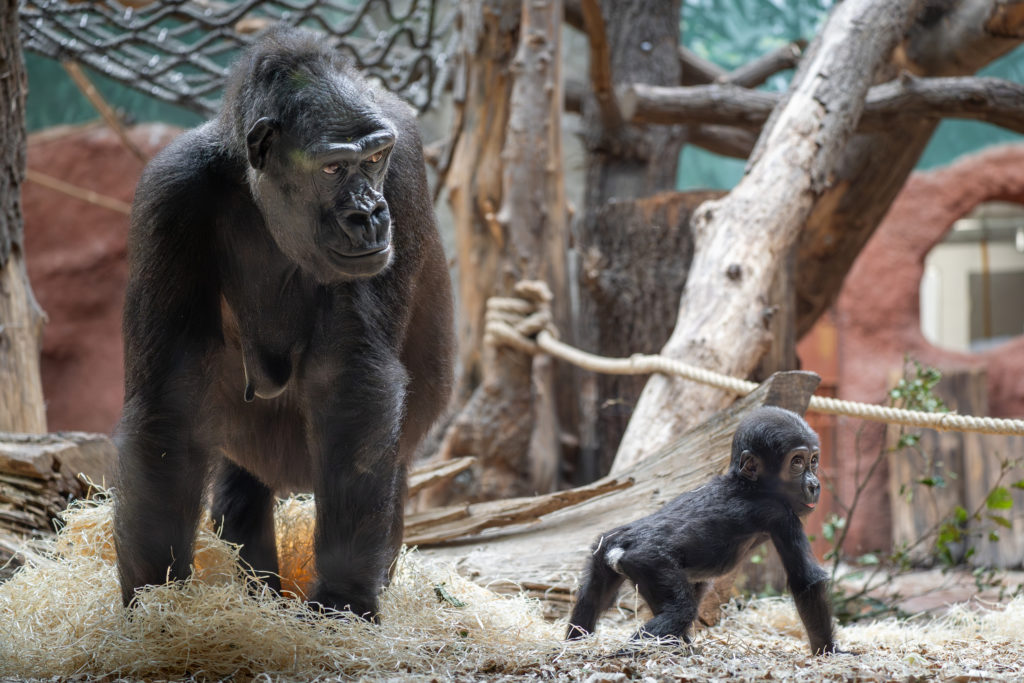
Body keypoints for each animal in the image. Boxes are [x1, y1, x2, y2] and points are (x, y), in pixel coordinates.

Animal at [112, 26, 452, 618]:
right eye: (334, 168)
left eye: (376, 159)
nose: (370, 214)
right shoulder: (170, 193)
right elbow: (166, 405)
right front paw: (154, 606)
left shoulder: (405, 159)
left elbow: (351, 382)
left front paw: (343, 600)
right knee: (240, 489)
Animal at [565, 405, 835, 655]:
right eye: (797, 462)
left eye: (814, 461)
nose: (814, 485)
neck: (745, 483)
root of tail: (620, 546)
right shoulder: (780, 514)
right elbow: (806, 581)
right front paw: (829, 651)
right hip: (647, 561)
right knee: (679, 611)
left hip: (603, 547)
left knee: (595, 596)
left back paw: (575, 642)